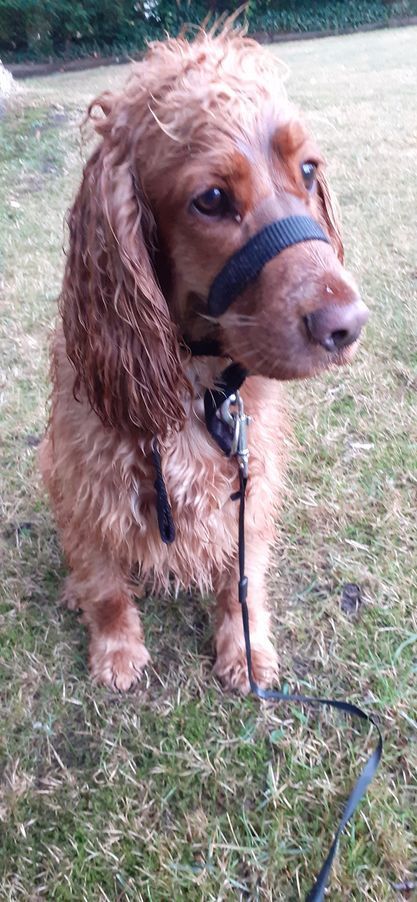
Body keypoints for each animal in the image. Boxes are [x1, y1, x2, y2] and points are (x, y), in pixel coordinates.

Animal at [40, 25, 368, 692]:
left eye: (308, 168)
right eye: (212, 199)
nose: (348, 325)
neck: (198, 383)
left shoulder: (250, 481)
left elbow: (241, 578)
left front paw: (244, 650)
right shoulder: (83, 483)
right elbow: (104, 581)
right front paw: (116, 649)